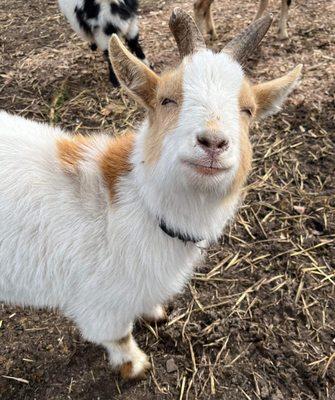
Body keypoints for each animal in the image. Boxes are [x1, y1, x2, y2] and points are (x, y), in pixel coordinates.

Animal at [0, 8, 302, 378]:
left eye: (247, 110)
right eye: (167, 99)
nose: (213, 142)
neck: (132, 204)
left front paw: (154, 312)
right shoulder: (100, 304)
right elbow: (117, 335)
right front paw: (135, 365)